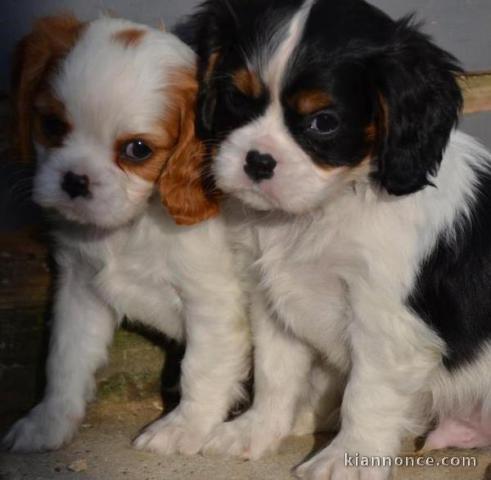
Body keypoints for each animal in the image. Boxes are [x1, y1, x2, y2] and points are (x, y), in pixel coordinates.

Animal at [1, 15, 250, 456]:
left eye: (137, 150)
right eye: (52, 125)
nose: (75, 181)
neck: (133, 225)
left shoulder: (214, 301)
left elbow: (201, 367)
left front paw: (183, 427)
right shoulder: (80, 288)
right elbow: (66, 358)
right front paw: (49, 422)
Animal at [193, 0, 491, 480]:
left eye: (324, 122)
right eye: (237, 98)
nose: (257, 161)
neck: (323, 209)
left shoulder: (384, 323)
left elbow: (366, 395)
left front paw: (347, 459)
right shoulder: (272, 303)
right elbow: (274, 373)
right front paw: (256, 430)